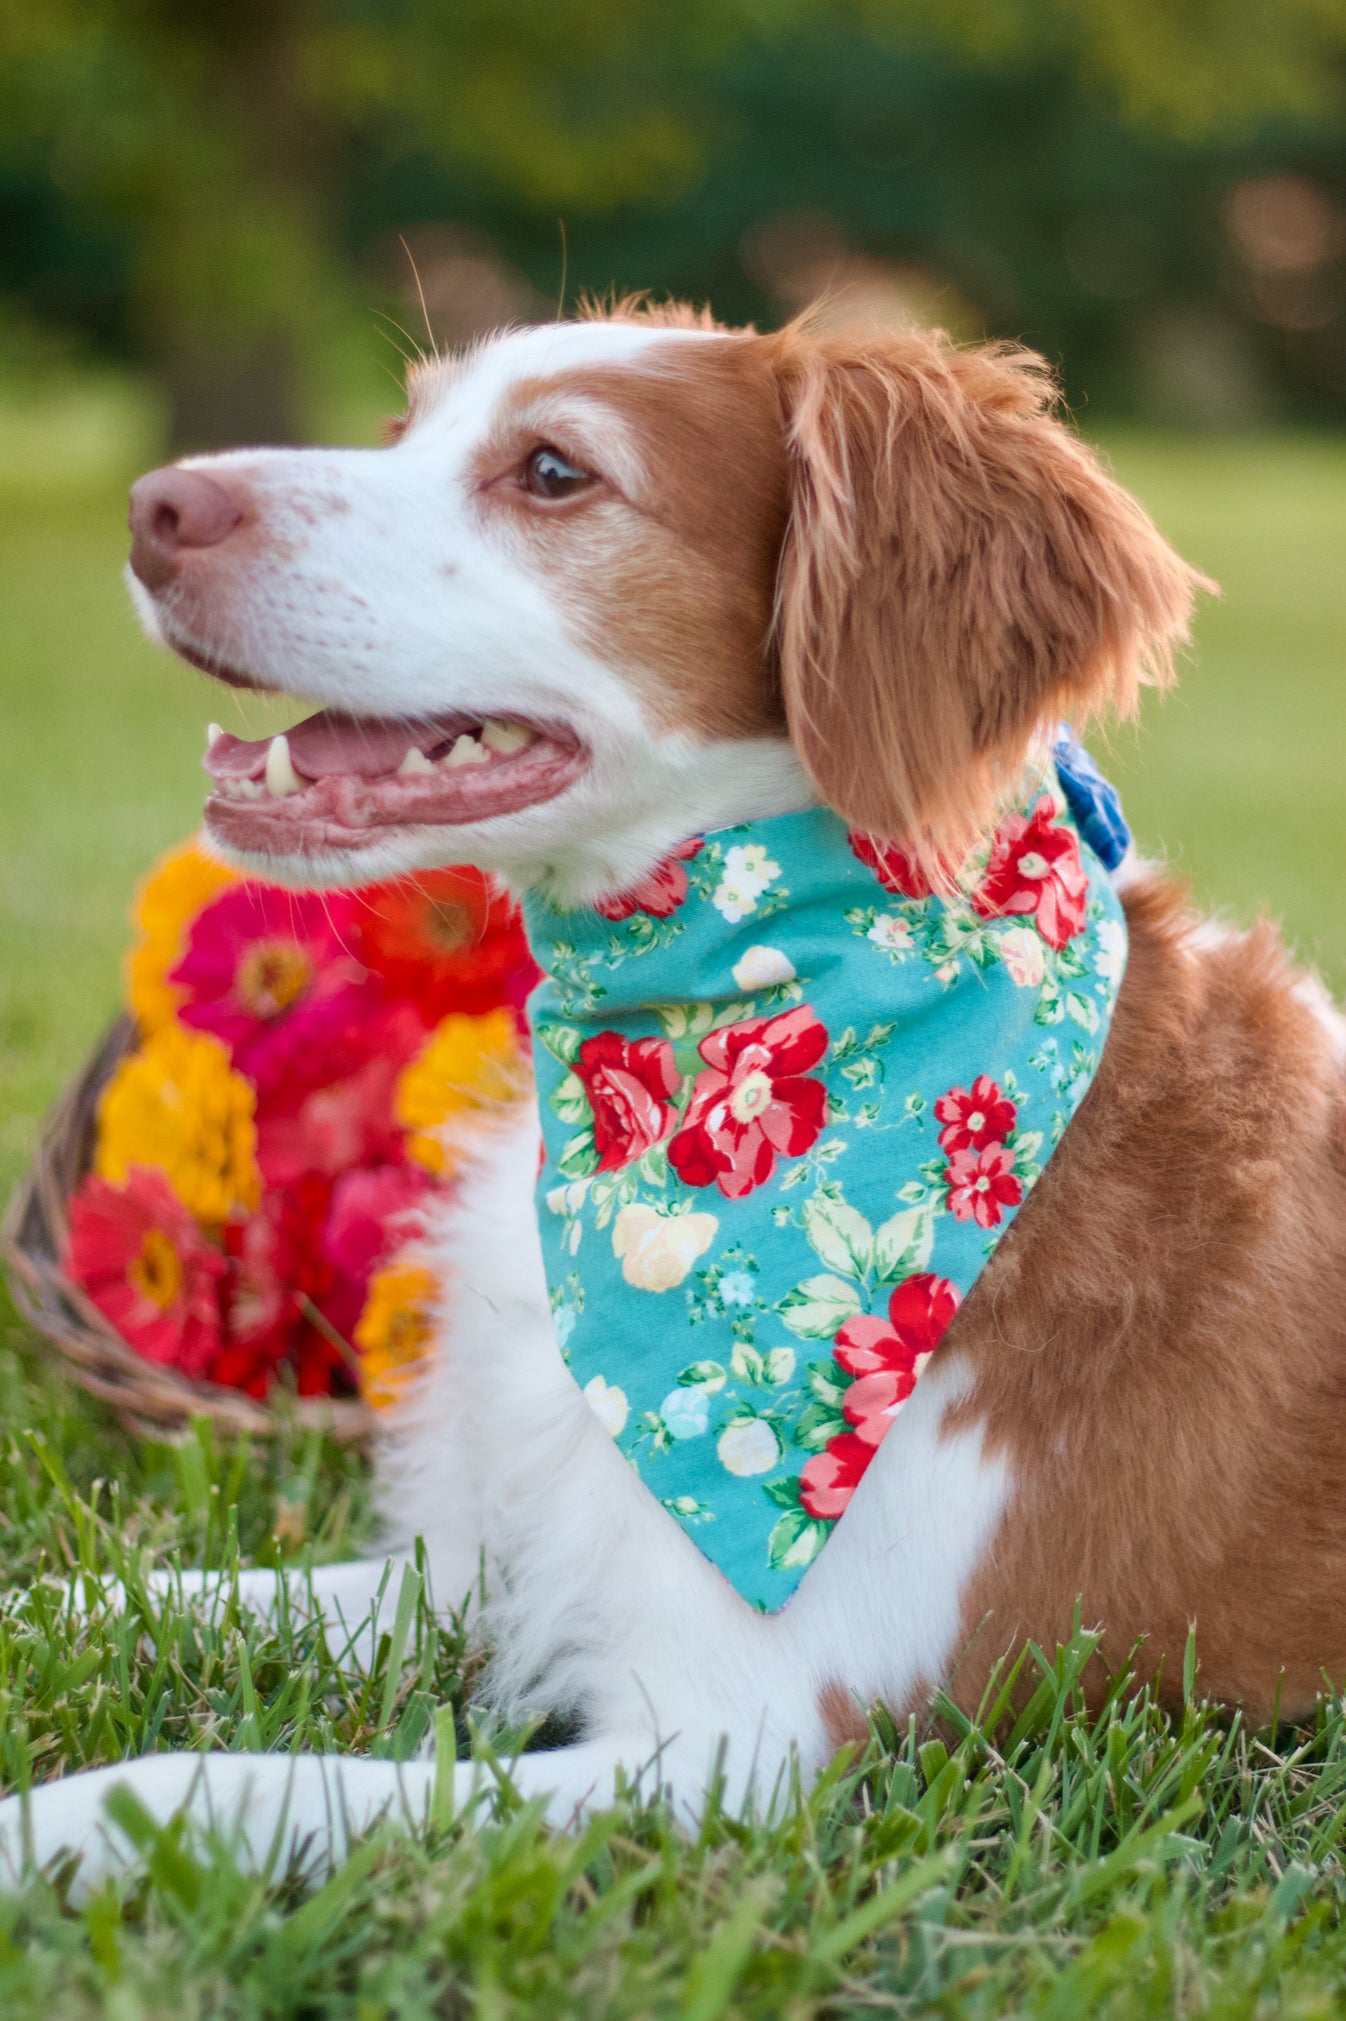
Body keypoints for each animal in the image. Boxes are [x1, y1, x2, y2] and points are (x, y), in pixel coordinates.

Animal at [2, 303, 1341, 1891]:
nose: (157, 507)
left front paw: (34, 1831)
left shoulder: (734, 1754)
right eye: (404, 430)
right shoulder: (475, 1567)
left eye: (554, 469)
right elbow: (145, 1589)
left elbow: (211, 1785)